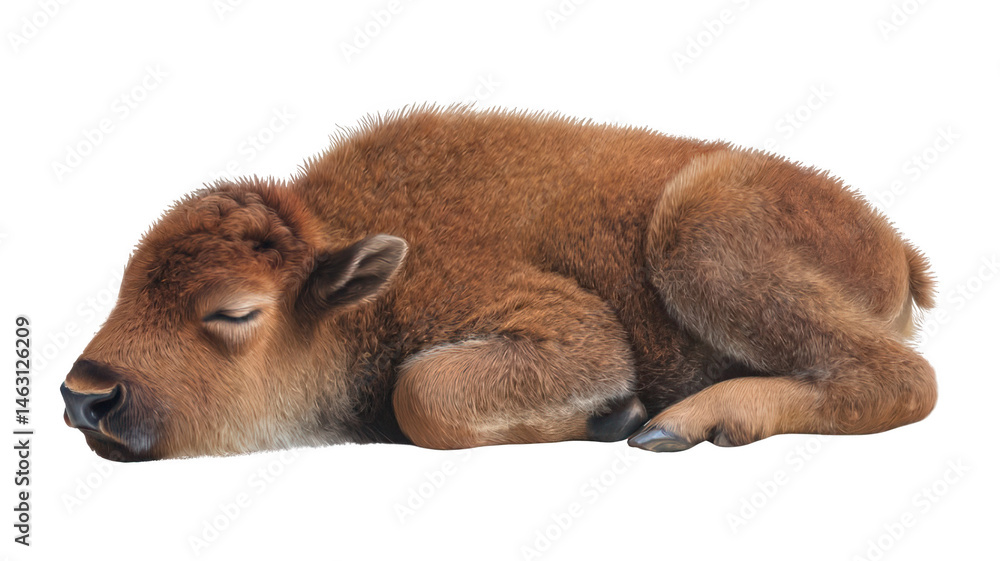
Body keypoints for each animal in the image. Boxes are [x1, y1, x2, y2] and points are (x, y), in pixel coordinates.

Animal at [60, 106, 937, 461]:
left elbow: (422, 394)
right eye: (126, 284)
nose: (83, 396)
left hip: (702, 232)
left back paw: (679, 423)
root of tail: (892, 242)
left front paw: (613, 414)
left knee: (903, 379)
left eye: (234, 311)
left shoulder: (567, 327)